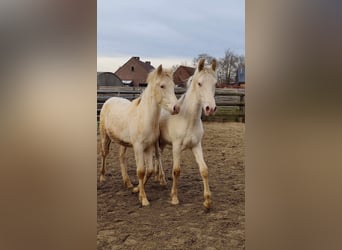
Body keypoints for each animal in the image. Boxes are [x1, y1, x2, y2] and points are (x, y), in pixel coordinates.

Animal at [99, 65, 179, 207]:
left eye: (173, 85)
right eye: (162, 86)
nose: (176, 108)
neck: (144, 118)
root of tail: (109, 100)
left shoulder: (148, 147)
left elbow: (150, 170)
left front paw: (137, 190)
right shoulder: (138, 147)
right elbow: (141, 171)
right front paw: (144, 199)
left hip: (123, 142)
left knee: (121, 158)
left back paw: (128, 183)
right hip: (105, 137)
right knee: (104, 154)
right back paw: (102, 177)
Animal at [156, 58, 216, 209]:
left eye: (215, 84)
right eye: (199, 83)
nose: (210, 108)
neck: (188, 119)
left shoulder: (196, 146)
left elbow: (204, 170)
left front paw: (207, 201)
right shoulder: (177, 147)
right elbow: (176, 171)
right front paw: (174, 198)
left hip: (163, 142)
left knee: (158, 157)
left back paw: (160, 178)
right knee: (157, 157)